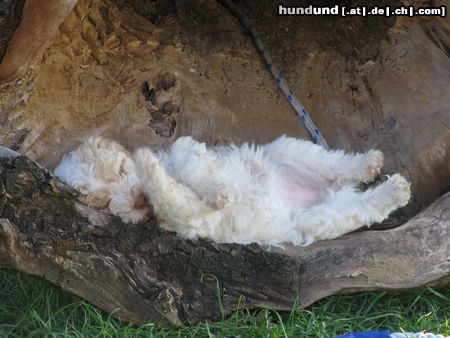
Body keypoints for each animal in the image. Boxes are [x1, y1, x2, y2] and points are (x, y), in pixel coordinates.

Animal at [55, 135, 412, 246]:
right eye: (102, 201)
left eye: (121, 170)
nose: (136, 198)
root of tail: (336, 190)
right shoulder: (189, 221)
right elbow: (174, 199)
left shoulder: (186, 150)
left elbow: (192, 170)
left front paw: (221, 191)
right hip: (318, 219)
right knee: (360, 208)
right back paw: (394, 190)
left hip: (289, 150)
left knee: (336, 162)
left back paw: (369, 164)